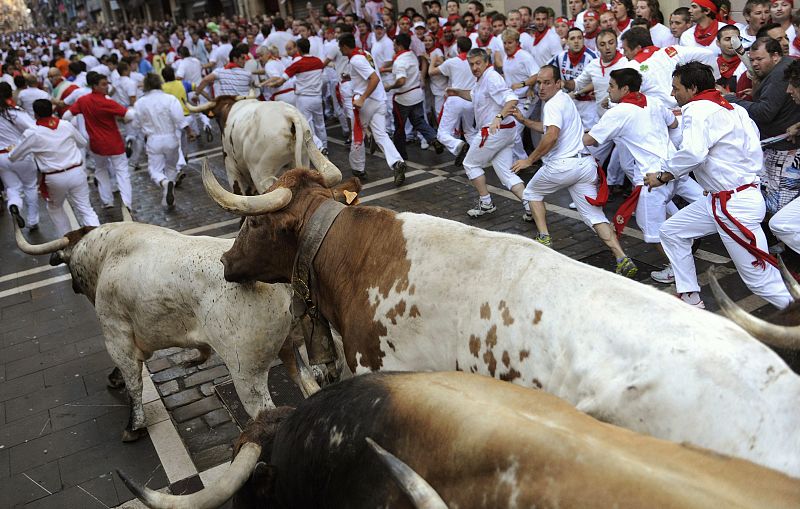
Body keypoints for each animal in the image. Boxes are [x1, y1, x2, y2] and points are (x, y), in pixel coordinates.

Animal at [11, 222, 294, 440]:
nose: (72, 286)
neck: (108, 252)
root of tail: (279, 284)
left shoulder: (115, 334)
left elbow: (133, 381)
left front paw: (134, 426)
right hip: (293, 351)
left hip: (247, 374)